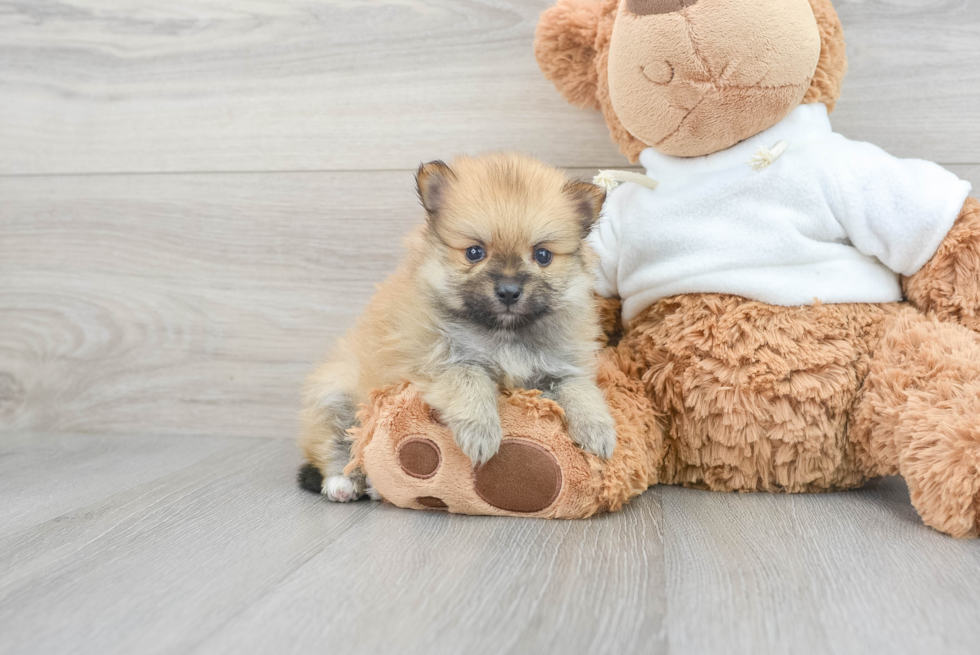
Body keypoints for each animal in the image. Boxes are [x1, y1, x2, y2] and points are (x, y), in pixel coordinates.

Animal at [298, 152, 616, 502]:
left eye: (542, 255)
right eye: (474, 252)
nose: (508, 291)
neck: (502, 332)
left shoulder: (560, 368)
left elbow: (580, 389)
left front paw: (598, 429)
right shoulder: (435, 362)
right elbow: (470, 377)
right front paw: (481, 431)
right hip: (336, 394)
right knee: (337, 443)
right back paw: (344, 482)